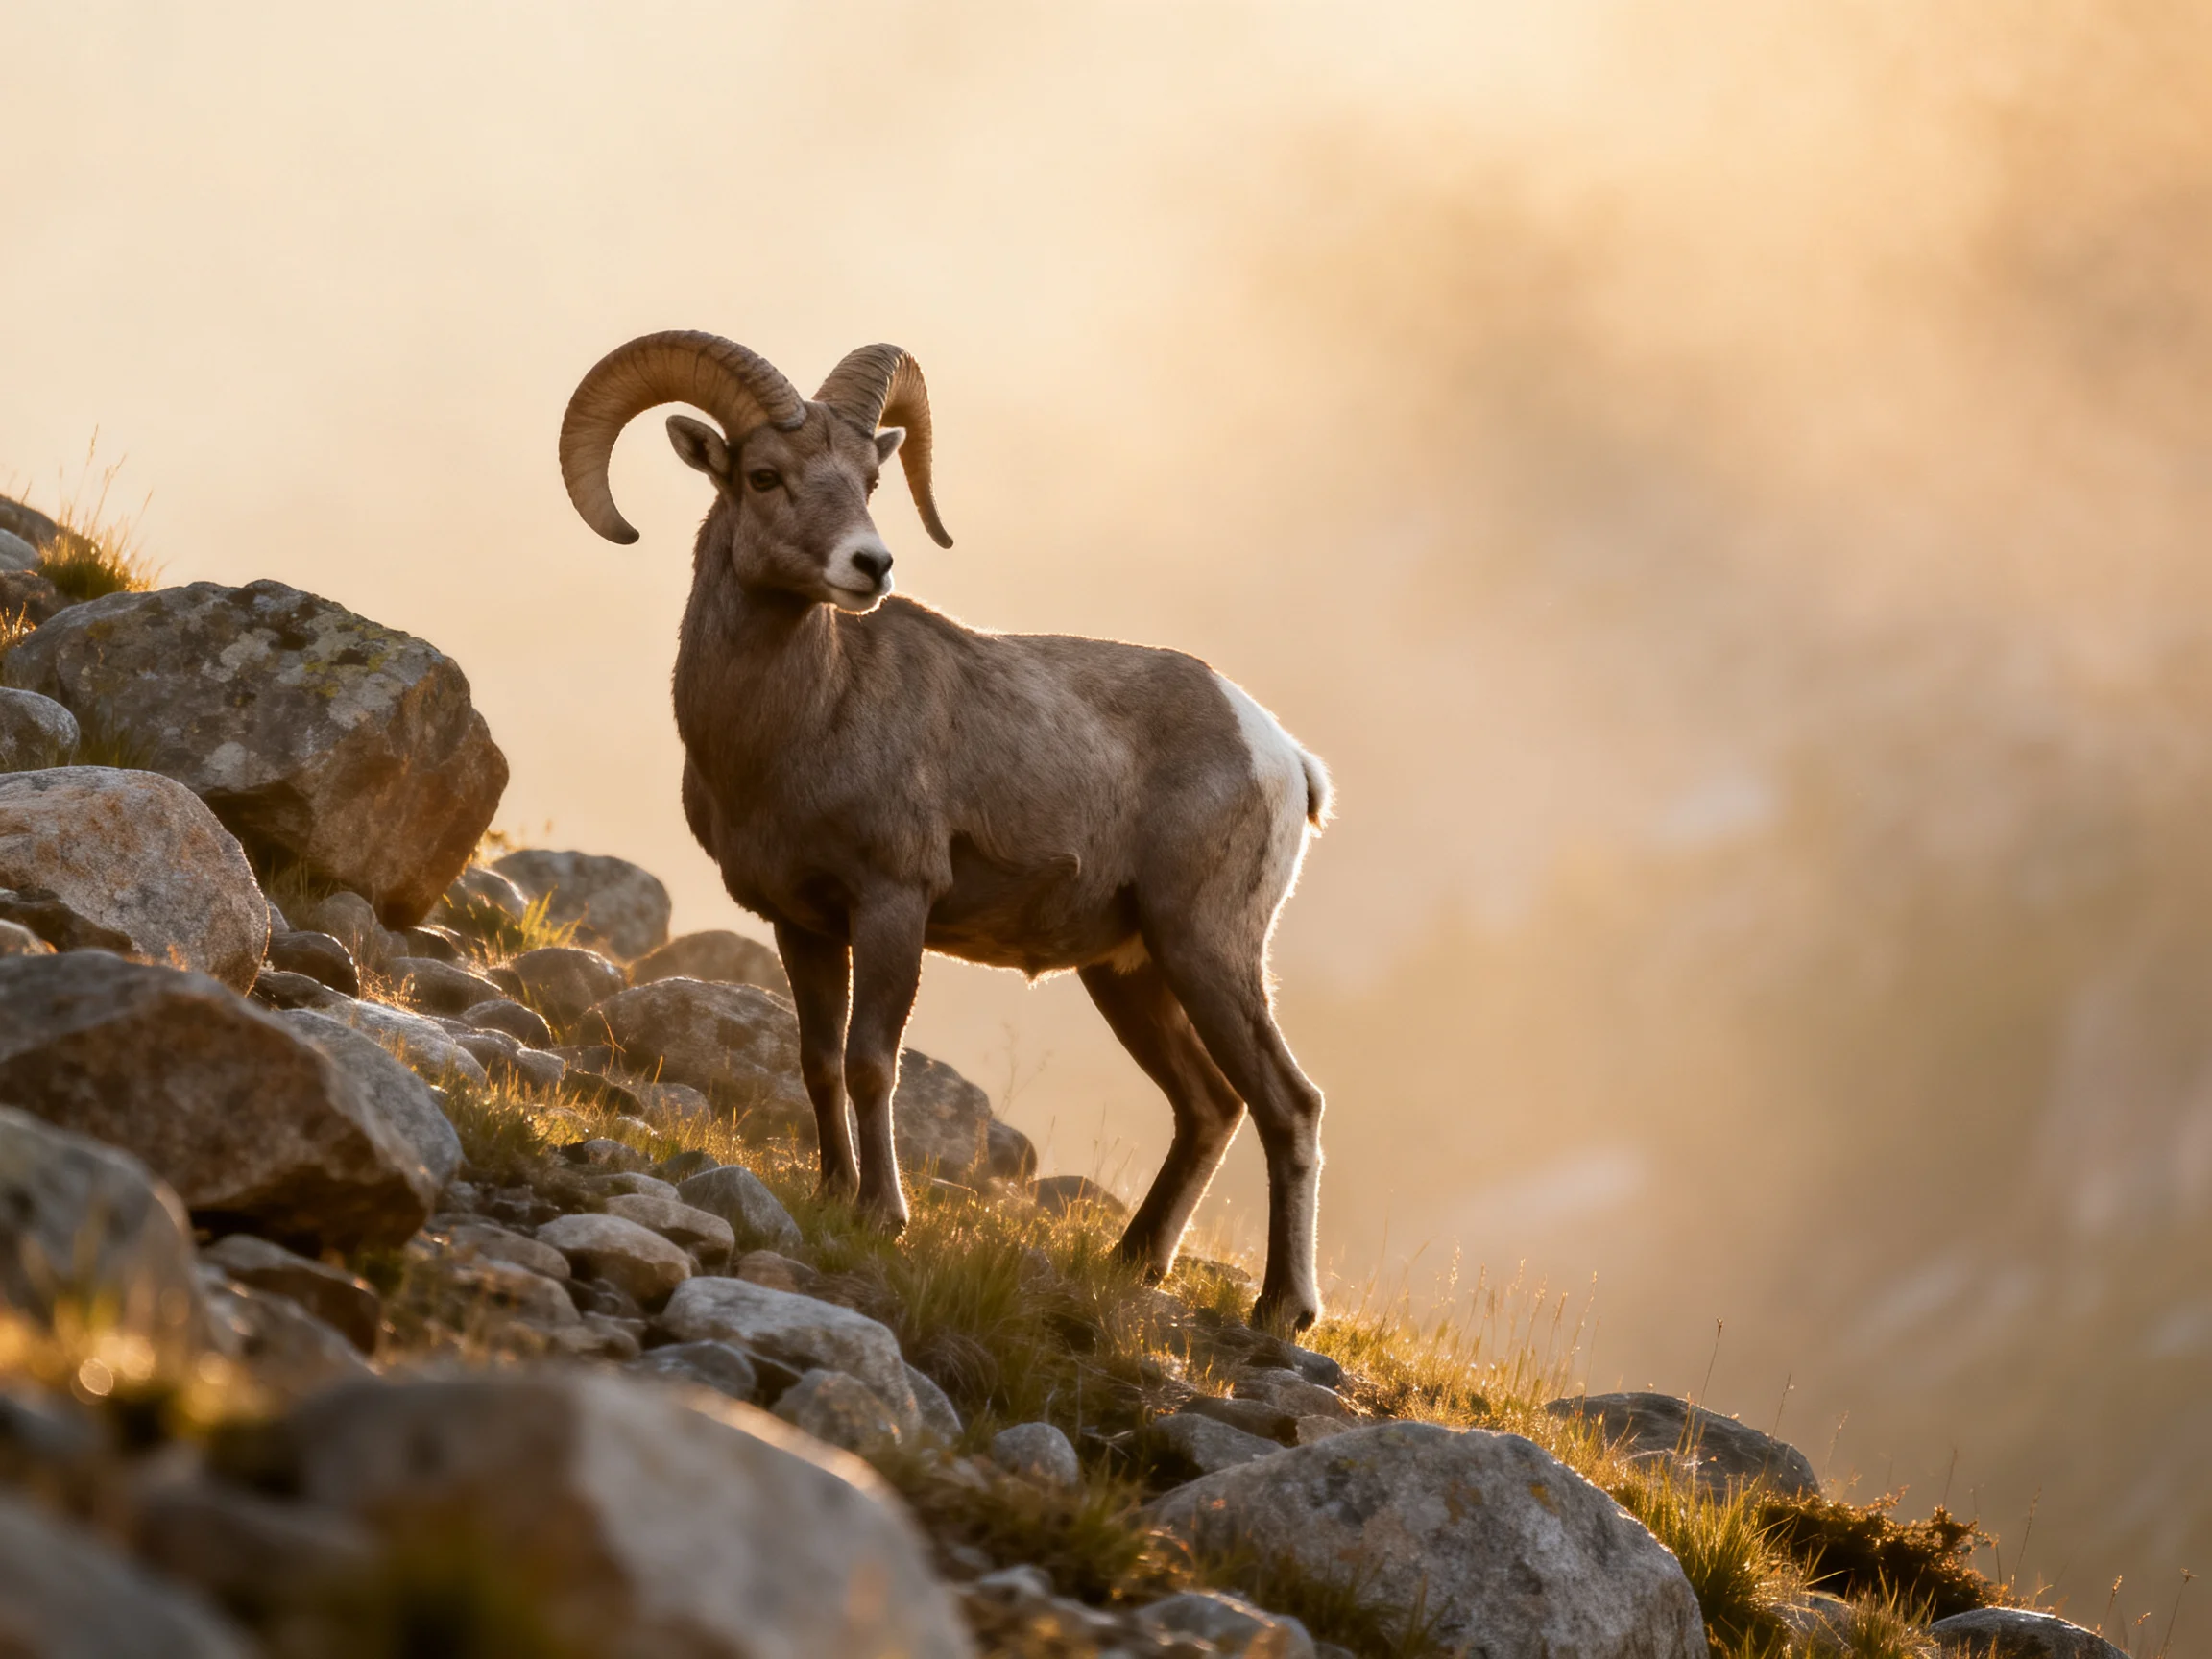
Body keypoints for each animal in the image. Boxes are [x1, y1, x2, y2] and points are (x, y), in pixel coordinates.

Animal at [559, 331, 1334, 1328]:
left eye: (869, 481)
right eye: (765, 476)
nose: (870, 566)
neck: (797, 726)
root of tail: (1280, 753)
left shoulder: (893, 904)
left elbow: (870, 1062)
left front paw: (882, 1215)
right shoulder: (803, 923)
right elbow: (817, 1060)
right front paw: (830, 1193)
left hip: (1206, 947)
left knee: (1289, 1104)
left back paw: (1283, 1309)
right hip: (1131, 972)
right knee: (1209, 1107)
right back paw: (1132, 1263)